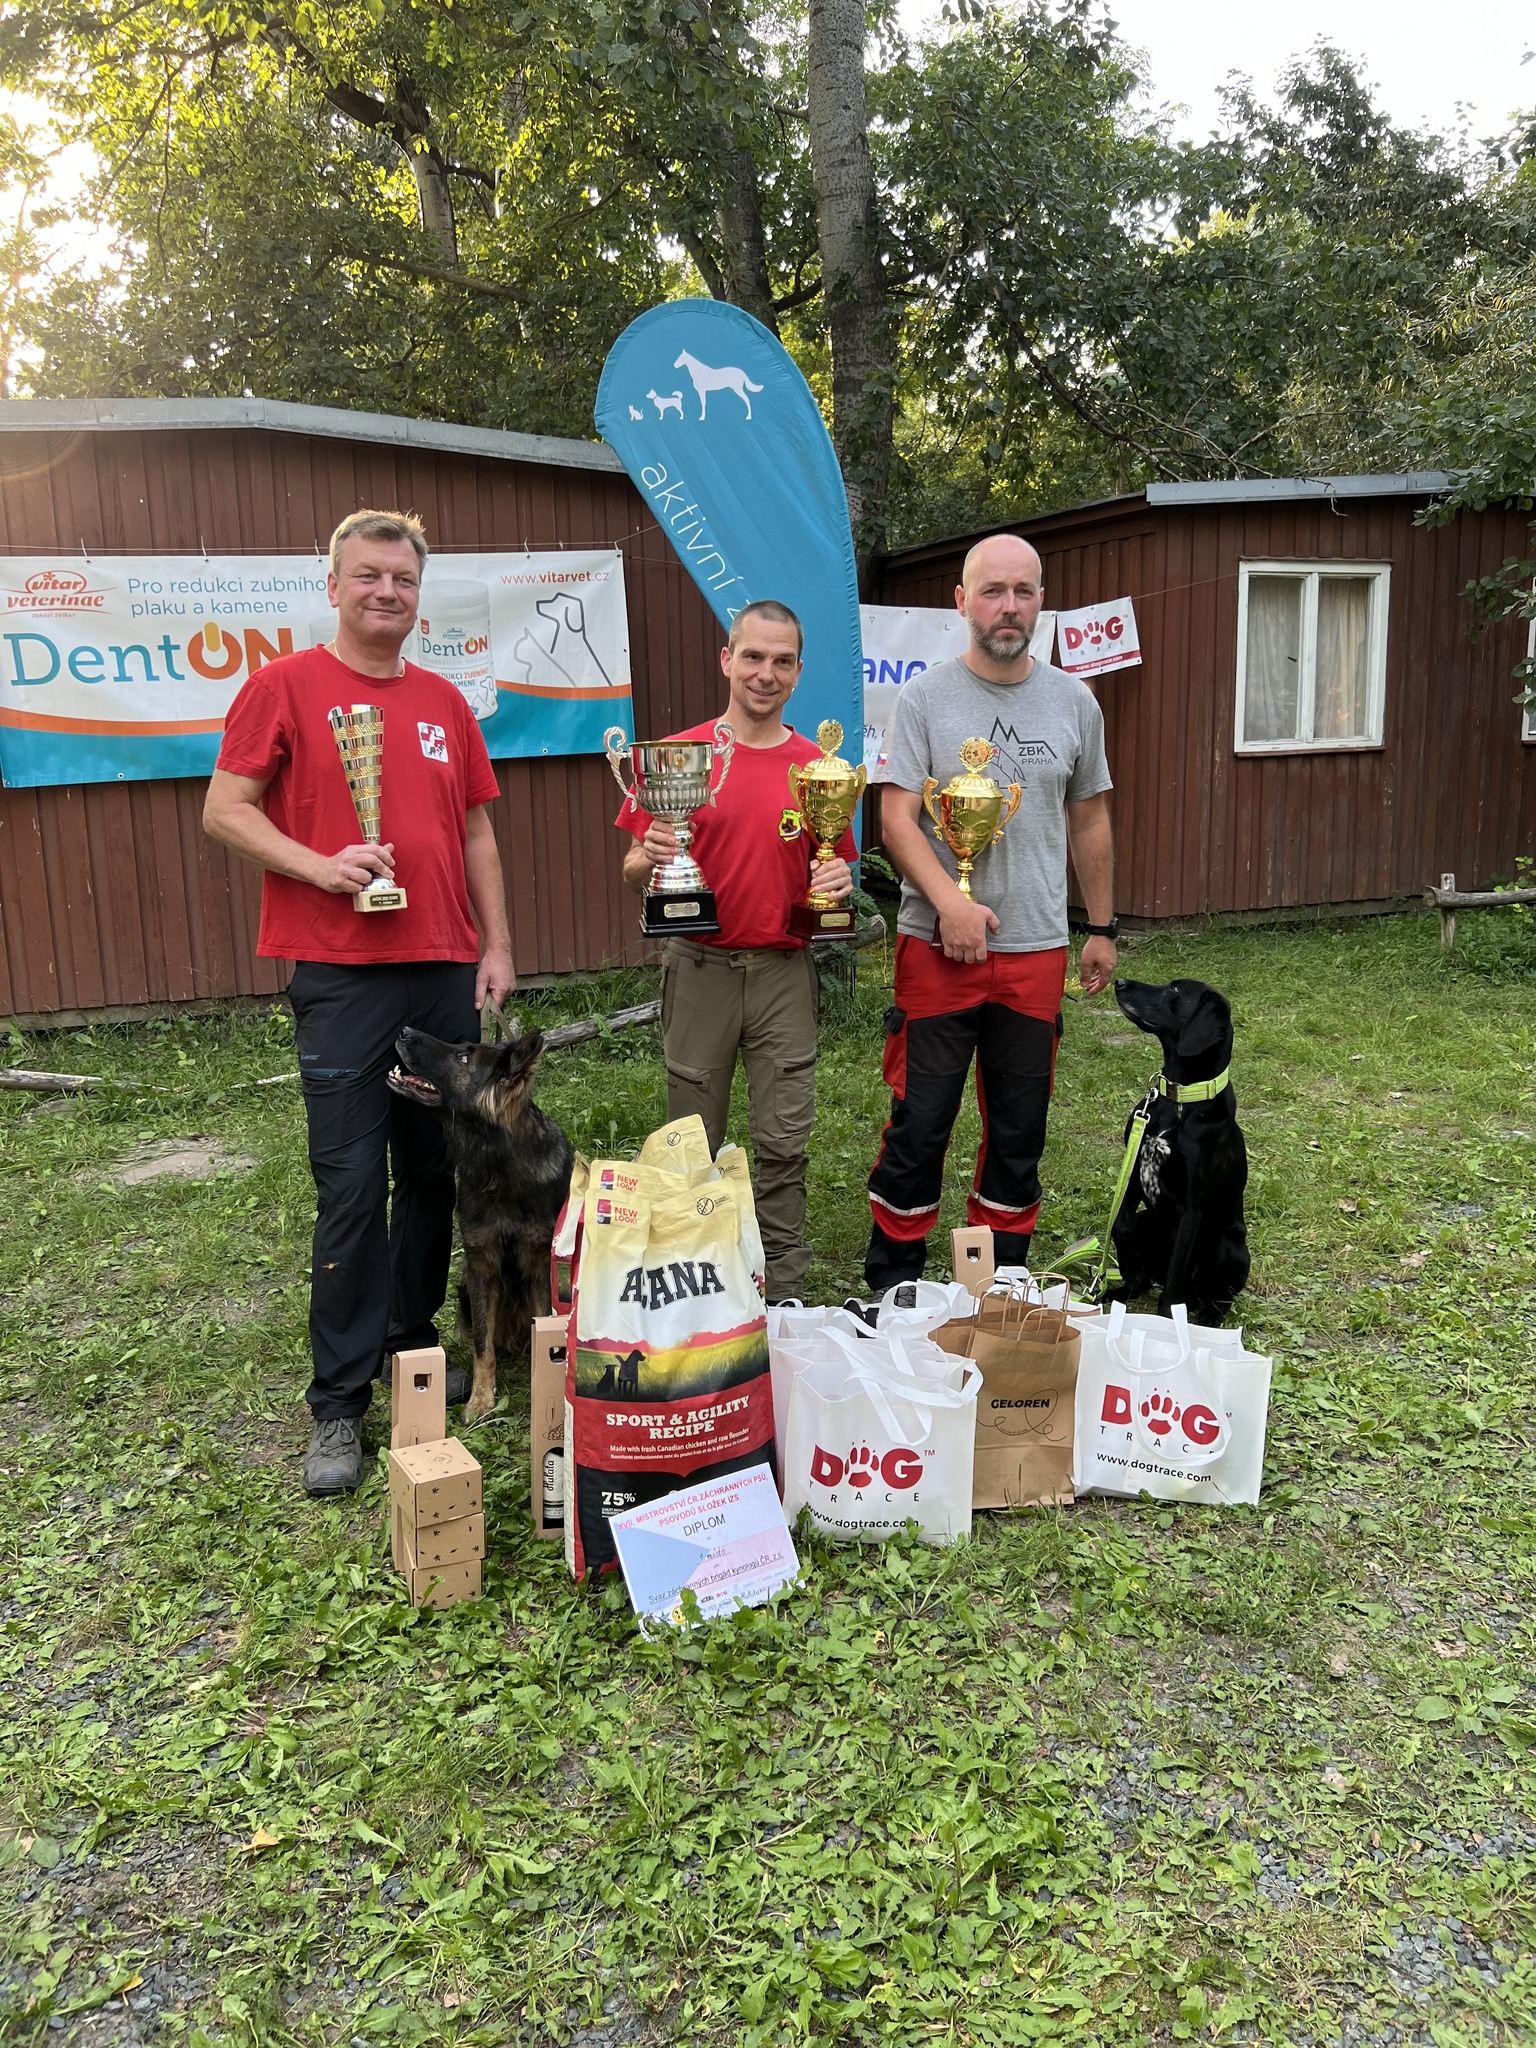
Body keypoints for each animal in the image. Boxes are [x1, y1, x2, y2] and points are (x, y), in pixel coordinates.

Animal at [388, 1023, 574, 1419]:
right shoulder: (481, 1266)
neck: (499, 1166)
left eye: (463, 1057)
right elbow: (482, 1345)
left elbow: (545, 1335)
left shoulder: (539, 1264)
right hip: (463, 1284)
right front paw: (481, 1399)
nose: (405, 1030)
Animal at [1106, 978, 1250, 1325]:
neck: (1180, 1099)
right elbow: (1121, 1226)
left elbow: (1176, 1271)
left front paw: (1166, 1318)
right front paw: (1131, 1274)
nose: (1119, 981)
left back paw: (1208, 1316)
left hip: (1232, 1246)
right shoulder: (1134, 1174)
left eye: (1174, 990)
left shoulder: (1192, 1207)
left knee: (1219, 1296)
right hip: (1149, 1219)